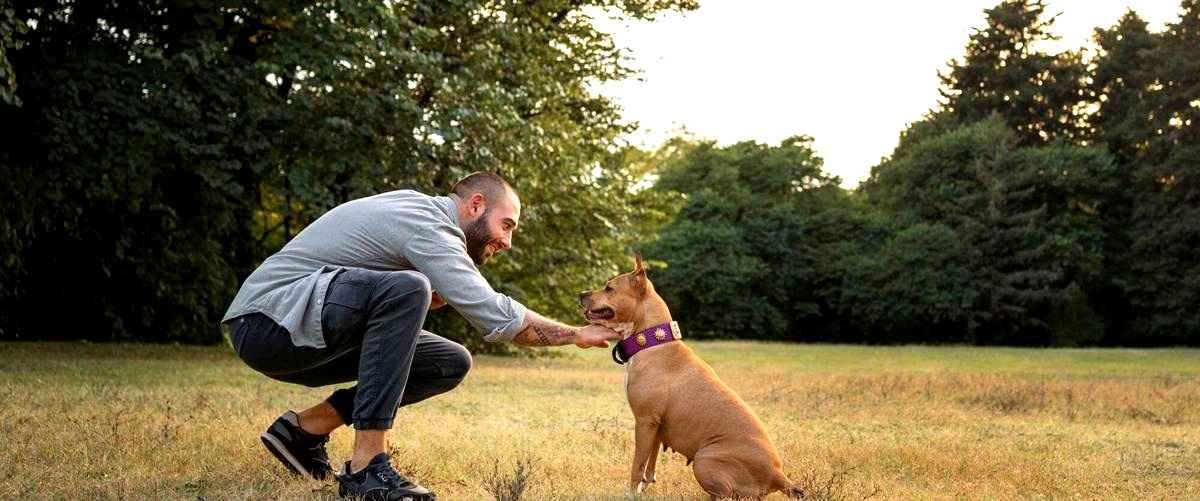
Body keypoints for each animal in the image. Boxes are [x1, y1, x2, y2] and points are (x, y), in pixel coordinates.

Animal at [578, 256, 801, 498]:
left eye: (609, 288)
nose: (580, 294)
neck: (651, 341)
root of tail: (778, 475)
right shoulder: (655, 426)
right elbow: (649, 465)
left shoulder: (645, 421)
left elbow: (637, 467)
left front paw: (630, 494)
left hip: (704, 459)